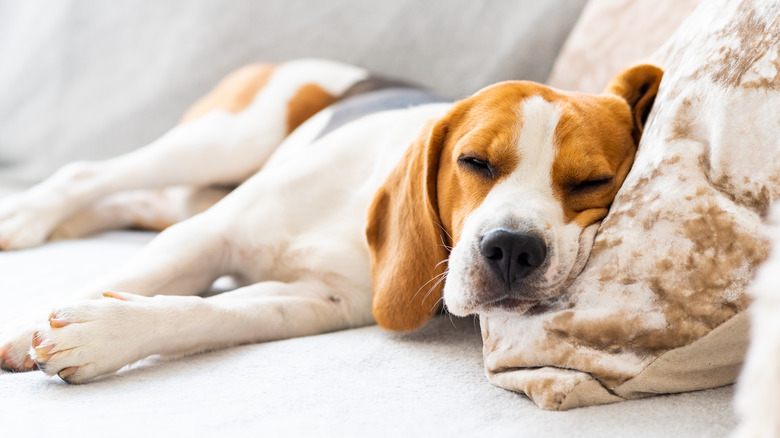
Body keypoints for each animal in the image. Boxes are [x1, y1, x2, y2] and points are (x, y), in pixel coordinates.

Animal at [0, 59, 660, 384]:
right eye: (474, 161)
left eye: (592, 183)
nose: (513, 250)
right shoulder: (206, 236)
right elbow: (136, 274)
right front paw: (30, 326)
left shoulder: (321, 301)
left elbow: (208, 312)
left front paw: (106, 331)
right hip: (225, 140)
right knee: (87, 173)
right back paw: (26, 217)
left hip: (193, 186)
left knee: (126, 201)